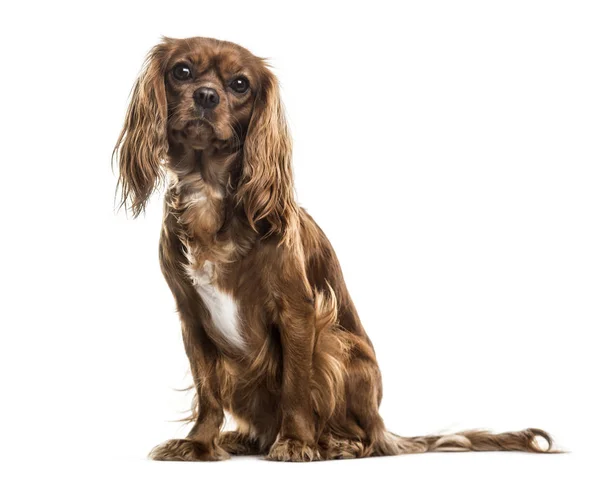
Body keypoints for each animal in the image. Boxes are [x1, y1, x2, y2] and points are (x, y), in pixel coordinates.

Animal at [115, 36, 556, 462]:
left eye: (240, 84)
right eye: (181, 71)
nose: (206, 96)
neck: (208, 193)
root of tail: (383, 424)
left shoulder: (298, 310)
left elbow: (295, 385)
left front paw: (296, 442)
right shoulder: (192, 317)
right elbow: (207, 391)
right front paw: (199, 445)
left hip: (335, 345)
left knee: (364, 436)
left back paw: (334, 443)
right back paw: (244, 438)